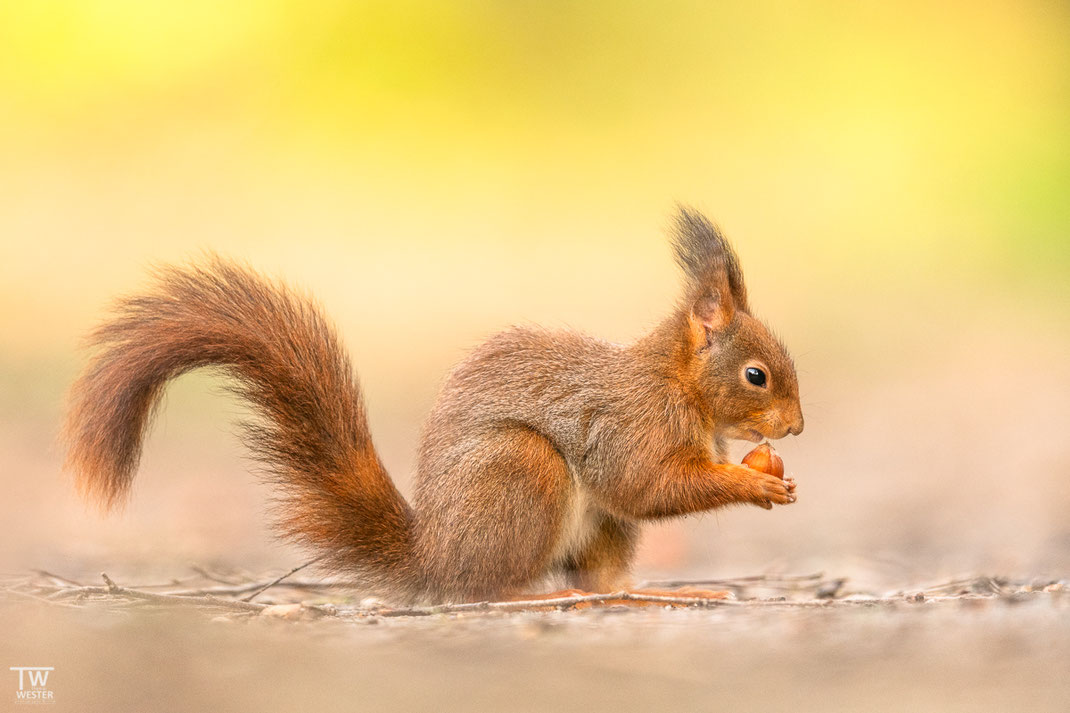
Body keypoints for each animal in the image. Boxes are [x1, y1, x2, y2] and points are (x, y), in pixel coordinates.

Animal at [62, 205, 804, 599]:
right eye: (758, 375)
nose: (797, 428)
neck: (678, 386)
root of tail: (436, 555)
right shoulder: (633, 423)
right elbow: (645, 484)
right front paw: (755, 483)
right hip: (522, 470)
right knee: (494, 586)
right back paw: (534, 594)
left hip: (597, 527)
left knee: (604, 580)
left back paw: (656, 591)